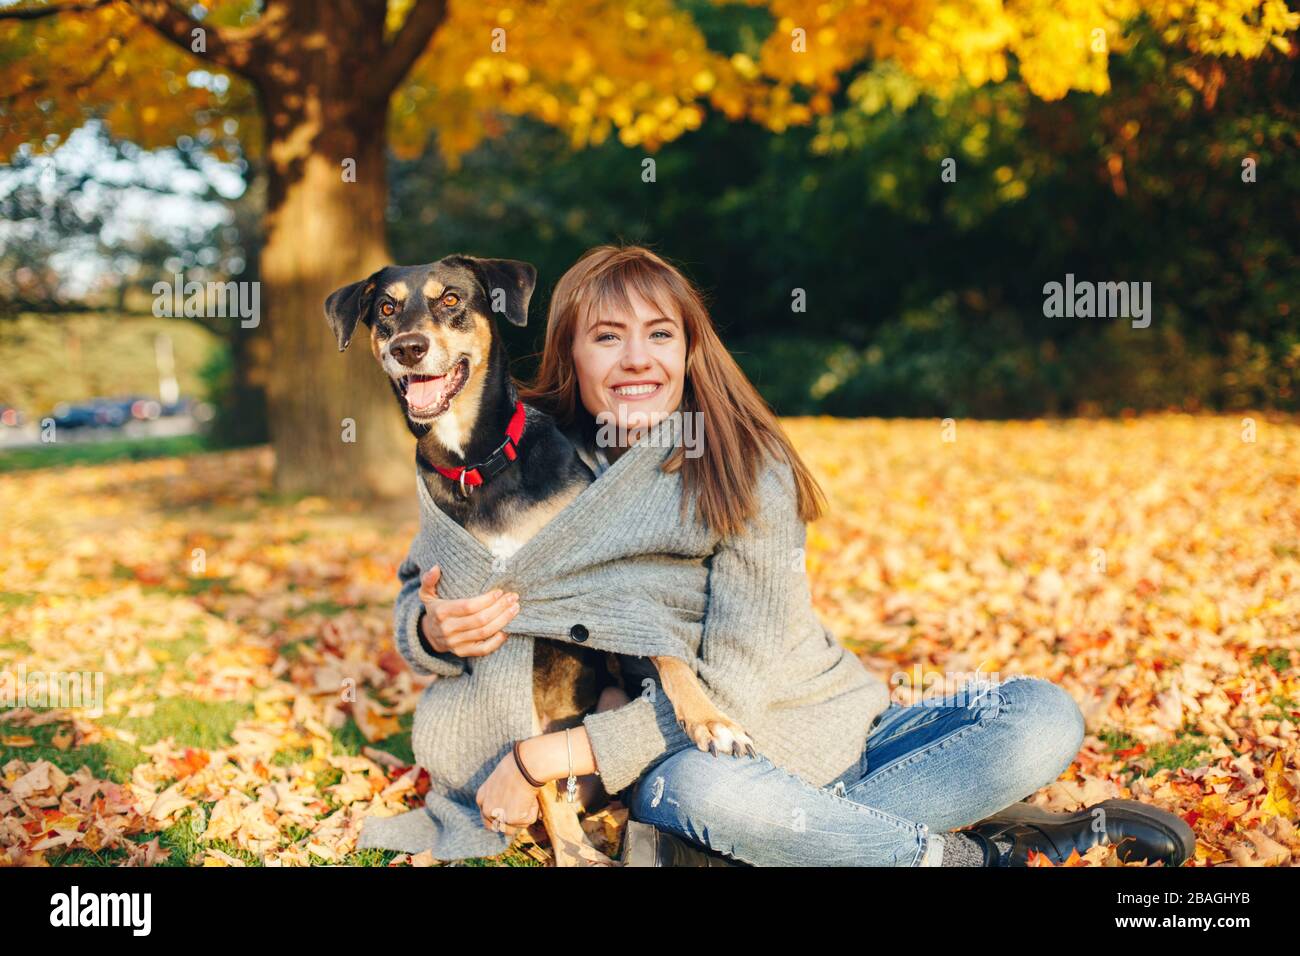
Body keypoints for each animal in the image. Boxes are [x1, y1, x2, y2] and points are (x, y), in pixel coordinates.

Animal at [319, 256, 759, 868]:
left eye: (451, 299)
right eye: (386, 308)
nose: (408, 346)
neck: (476, 464)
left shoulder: (600, 586)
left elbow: (664, 652)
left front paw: (713, 721)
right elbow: (534, 765)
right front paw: (571, 849)